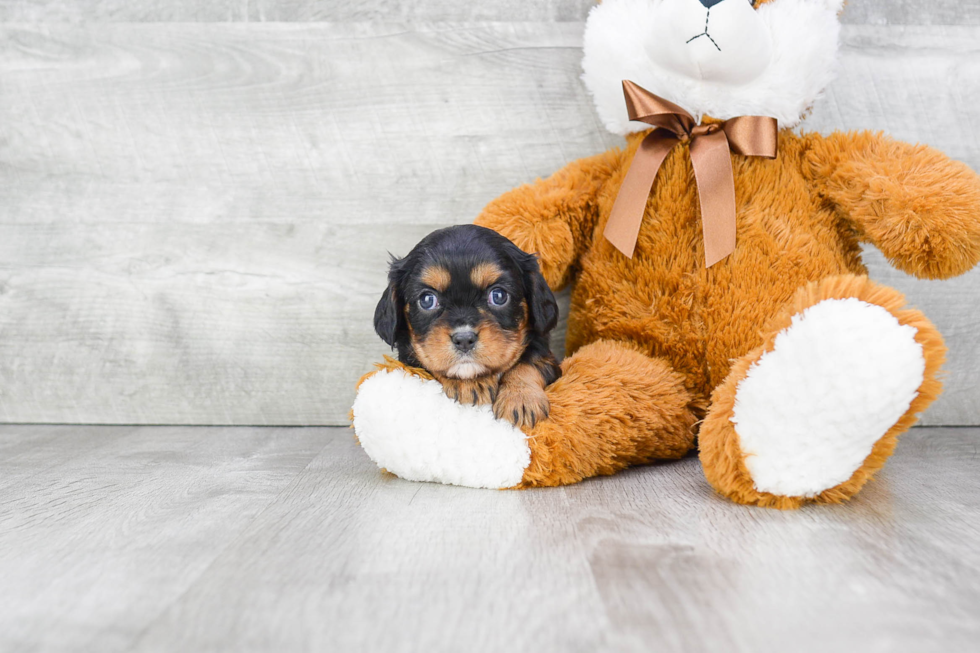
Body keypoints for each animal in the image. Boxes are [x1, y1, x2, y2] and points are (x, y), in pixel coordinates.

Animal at [374, 224, 560, 428]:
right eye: (427, 300)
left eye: (499, 295)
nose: (464, 339)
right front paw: (468, 384)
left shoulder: (547, 355)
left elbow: (530, 361)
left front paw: (520, 398)